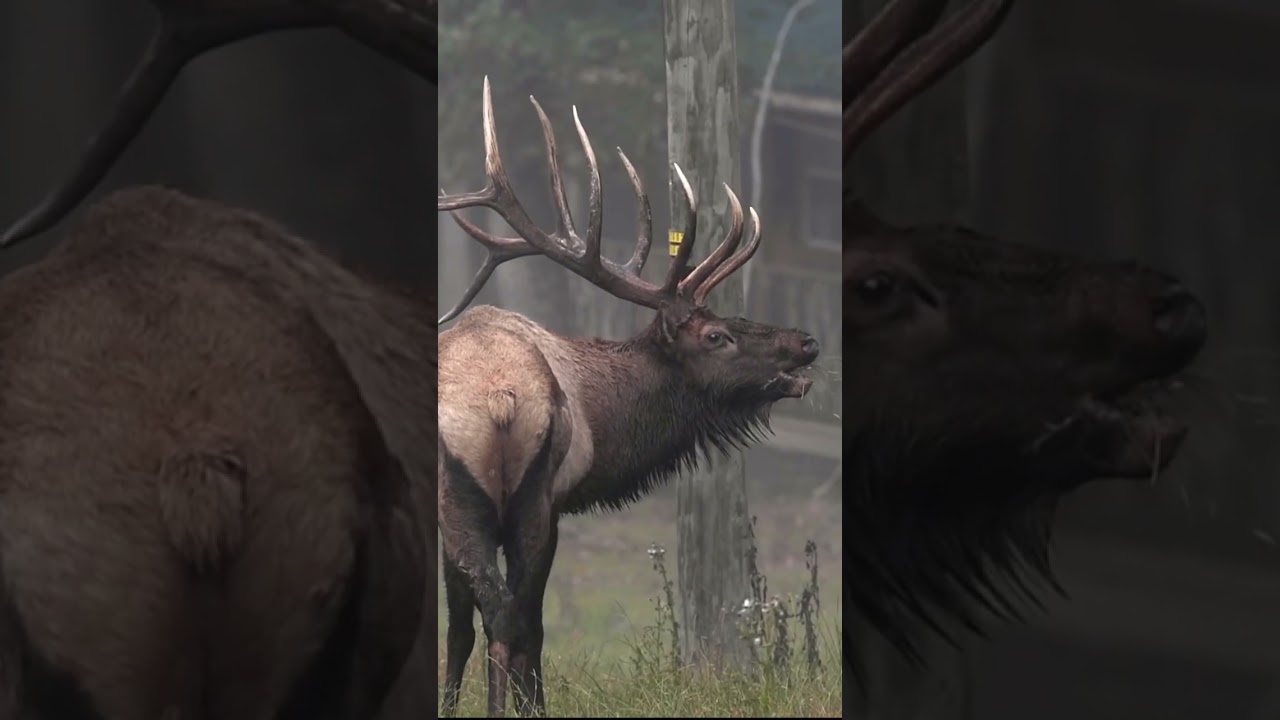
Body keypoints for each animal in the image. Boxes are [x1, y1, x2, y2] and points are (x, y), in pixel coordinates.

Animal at [435, 77, 822, 717]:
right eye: (716, 335)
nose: (807, 341)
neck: (601, 416)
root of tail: (502, 401)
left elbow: (474, 628)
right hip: (499, 501)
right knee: (511, 617)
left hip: (492, 504)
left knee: (507, 616)